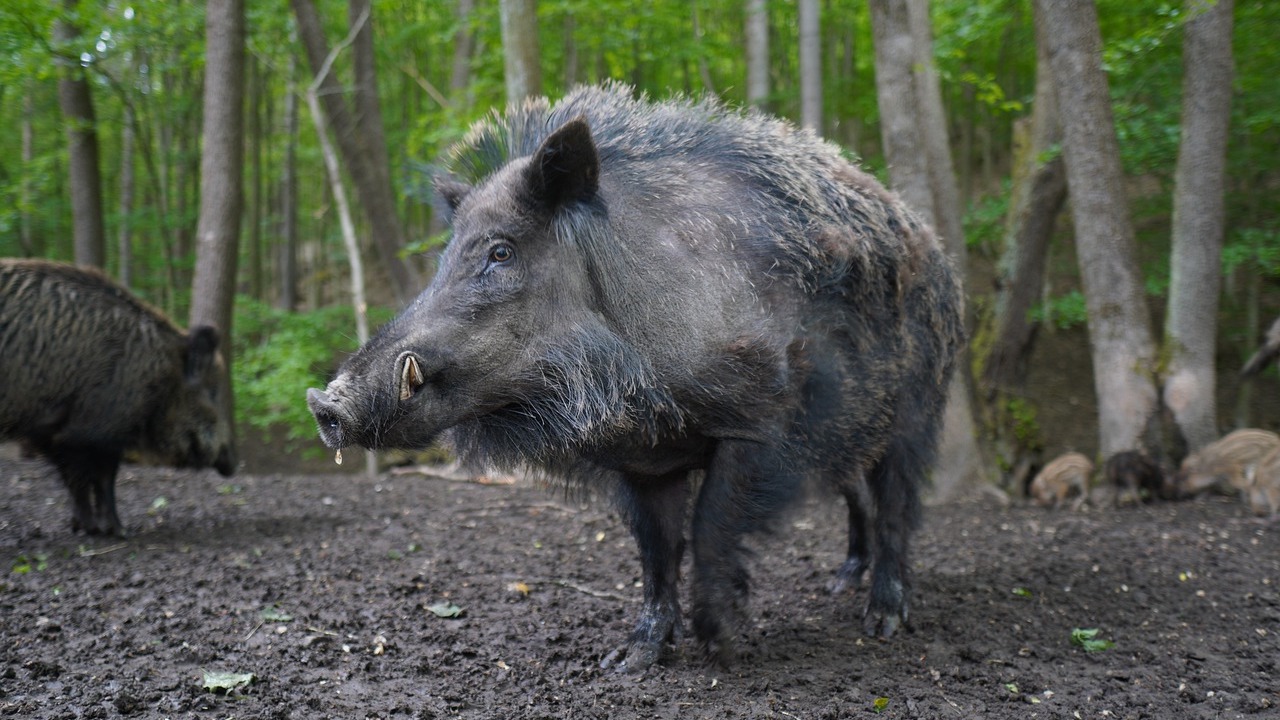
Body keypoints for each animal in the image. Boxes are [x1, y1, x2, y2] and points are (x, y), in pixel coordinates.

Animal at [0, 259, 236, 536]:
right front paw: (111, 530)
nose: (234, 462)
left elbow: (85, 480)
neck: (160, 374)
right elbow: (97, 480)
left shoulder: (55, 433)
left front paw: (90, 527)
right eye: (212, 391)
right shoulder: (89, 432)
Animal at [308, 84, 964, 670]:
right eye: (444, 258)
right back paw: (838, 586)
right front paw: (628, 660)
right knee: (859, 498)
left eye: (500, 252)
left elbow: (710, 527)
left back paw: (881, 622)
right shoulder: (644, 461)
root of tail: (938, 253)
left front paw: (722, 647)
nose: (324, 402)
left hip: (919, 409)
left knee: (898, 505)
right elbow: (655, 551)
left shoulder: (760, 425)